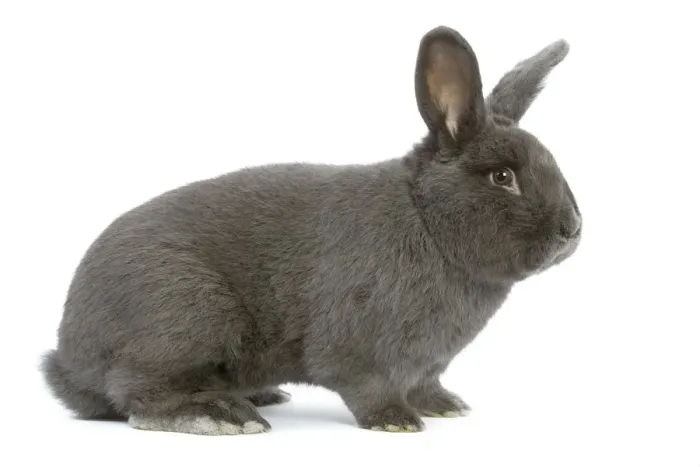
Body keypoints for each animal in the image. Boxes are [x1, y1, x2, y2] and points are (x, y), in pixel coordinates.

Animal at [41, 25, 581, 435]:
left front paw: (446, 406)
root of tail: (68, 355)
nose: (572, 229)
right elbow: (370, 387)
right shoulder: (360, 351)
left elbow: (426, 383)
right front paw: (397, 422)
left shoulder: (428, 363)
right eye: (502, 177)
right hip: (186, 314)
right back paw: (224, 415)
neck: (426, 220)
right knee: (136, 393)